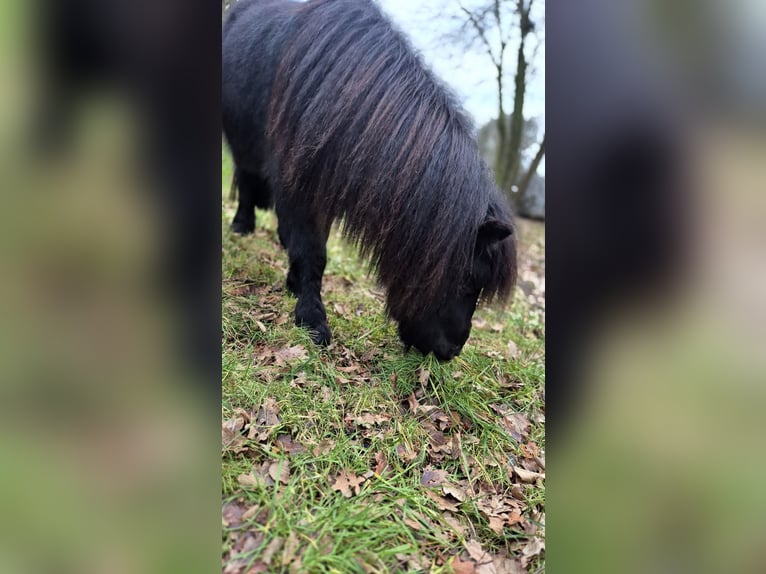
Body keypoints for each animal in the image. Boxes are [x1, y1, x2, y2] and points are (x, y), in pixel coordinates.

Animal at [225, 0, 520, 360]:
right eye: (466, 280)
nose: (451, 351)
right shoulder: (299, 182)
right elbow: (313, 252)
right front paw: (312, 320)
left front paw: (295, 283)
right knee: (246, 178)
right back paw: (242, 226)